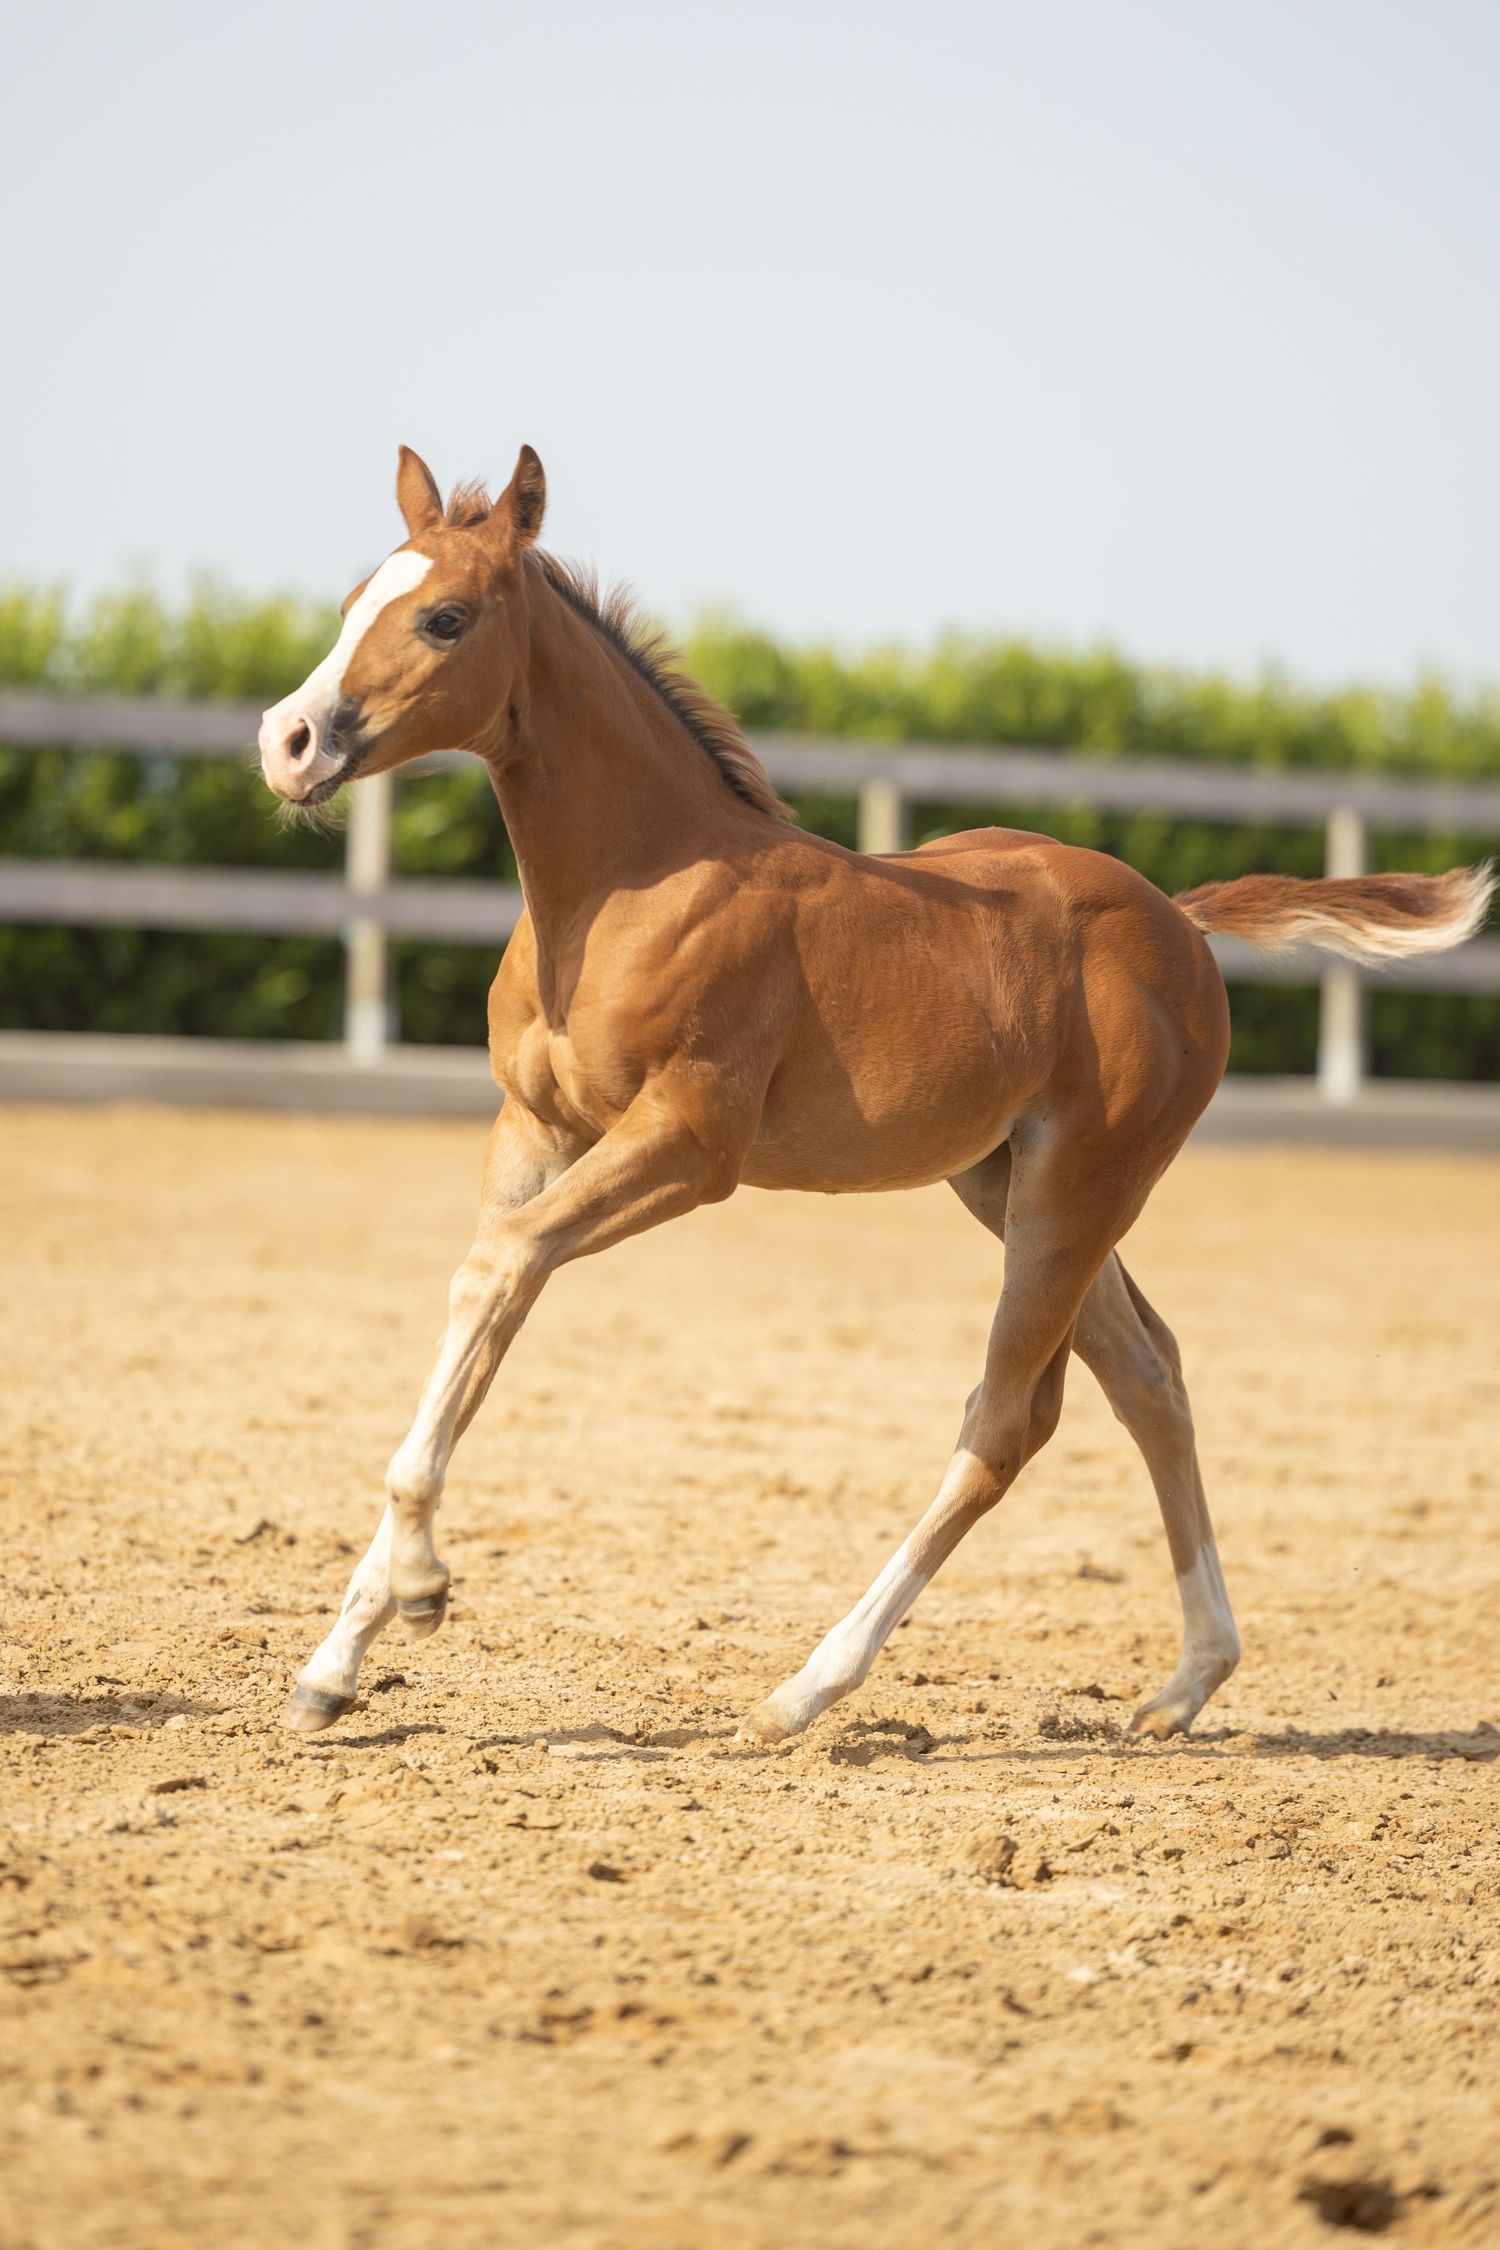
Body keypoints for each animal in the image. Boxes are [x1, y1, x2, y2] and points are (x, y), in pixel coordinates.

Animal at [257, 444, 1492, 1744]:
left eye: (444, 617)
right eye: (351, 603)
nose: (288, 741)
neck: (632, 881)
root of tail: (1180, 920)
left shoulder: (688, 1145)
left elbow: (496, 1270)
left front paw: (421, 1587)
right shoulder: (535, 1131)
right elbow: (488, 1299)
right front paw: (335, 1663)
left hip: (1078, 1188)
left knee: (1006, 1424)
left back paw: (805, 1689)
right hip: (1009, 1183)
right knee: (1150, 1376)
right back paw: (1186, 1681)